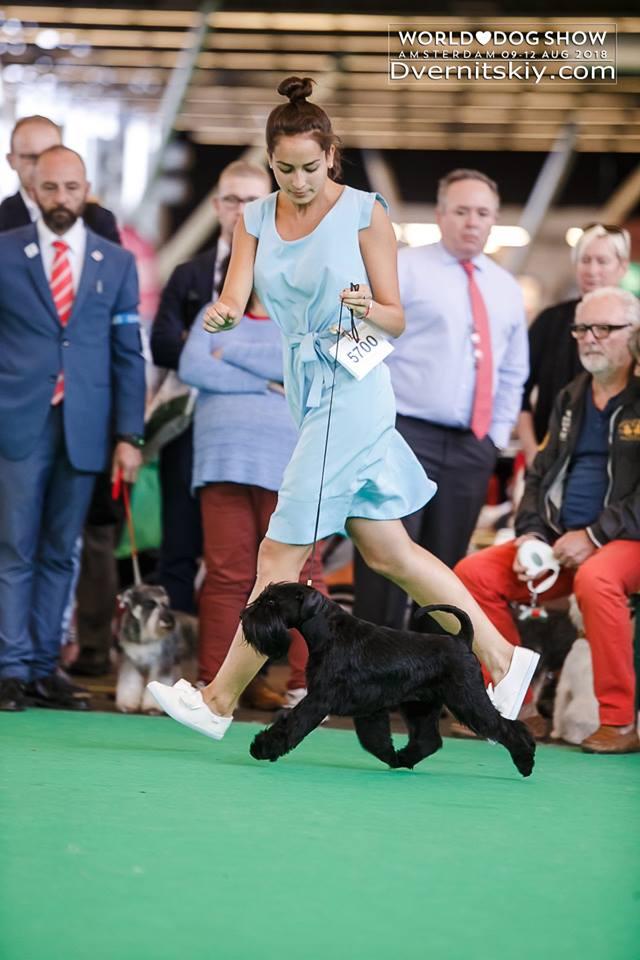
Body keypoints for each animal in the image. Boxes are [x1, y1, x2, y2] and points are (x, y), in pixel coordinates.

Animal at [116, 585, 197, 714]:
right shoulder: (130, 662)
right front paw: (127, 705)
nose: (169, 620)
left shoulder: (161, 662)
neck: (144, 638)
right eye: (150, 604)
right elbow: (129, 682)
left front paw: (152, 707)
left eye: (166, 604)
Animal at [240, 583, 535, 777]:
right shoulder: (370, 709)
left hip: (467, 700)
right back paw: (404, 758)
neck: (329, 632)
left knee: (506, 726)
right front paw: (390, 756)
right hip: (420, 706)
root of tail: (462, 640)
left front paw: (263, 747)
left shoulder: (318, 700)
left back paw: (525, 761)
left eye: (271, 603)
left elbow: (292, 725)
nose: (244, 615)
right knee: (429, 740)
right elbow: (375, 739)